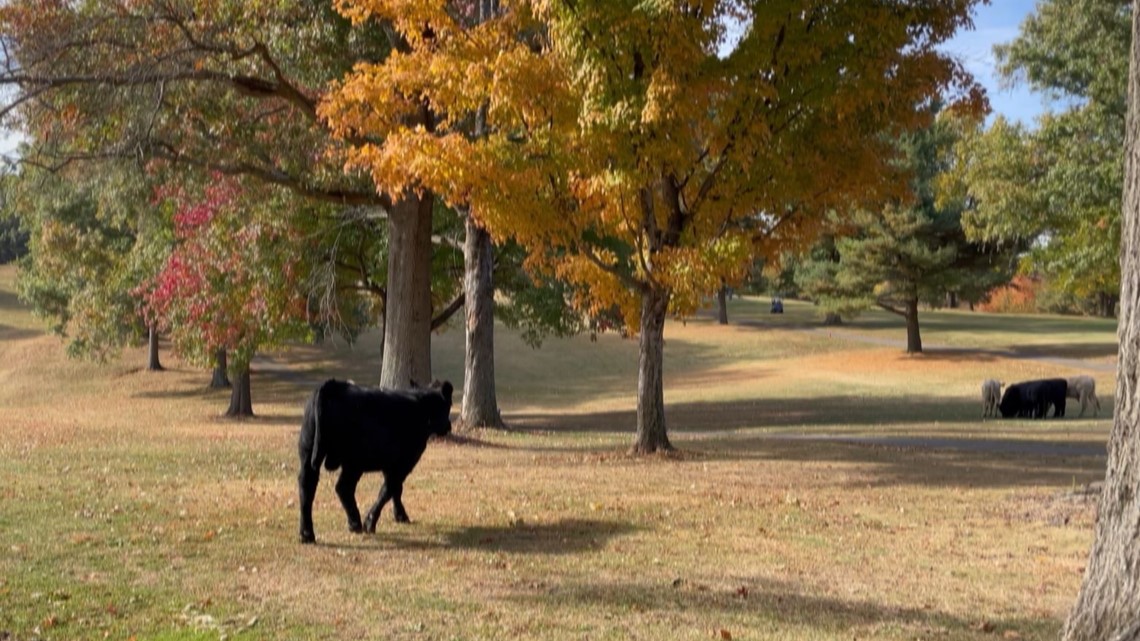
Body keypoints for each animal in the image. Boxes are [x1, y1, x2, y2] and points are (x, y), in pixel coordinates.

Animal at [297, 378, 454, 544]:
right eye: (448, 405)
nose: (448, 426)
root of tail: (333, 385)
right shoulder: (402, 465)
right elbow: (387, 491)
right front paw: (371, 522)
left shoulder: (390, 466)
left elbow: (396, 491)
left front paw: (400, 516)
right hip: (354, 462)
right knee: (343, 487)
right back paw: (356, 523)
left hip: (309, 454)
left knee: (308, 488)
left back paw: (308, 534)